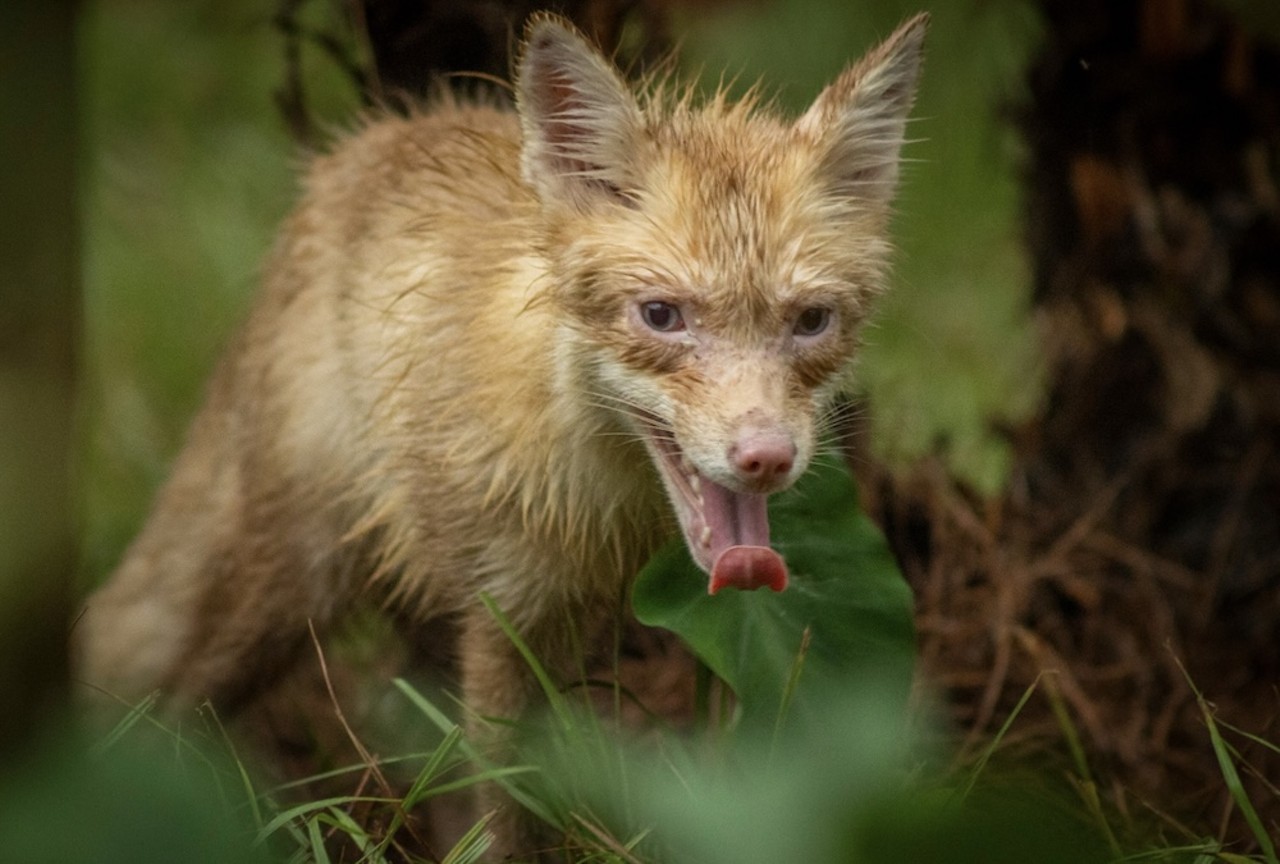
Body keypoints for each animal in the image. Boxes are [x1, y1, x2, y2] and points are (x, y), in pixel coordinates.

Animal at [72, 8, 931, 860]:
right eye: (661, 316)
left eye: (811, 322)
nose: (766, 459)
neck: (596, 510)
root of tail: (364, 147)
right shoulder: (504, 611)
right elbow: (509, 806)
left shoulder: (628, 627)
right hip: (285, 586)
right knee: (176, 703)